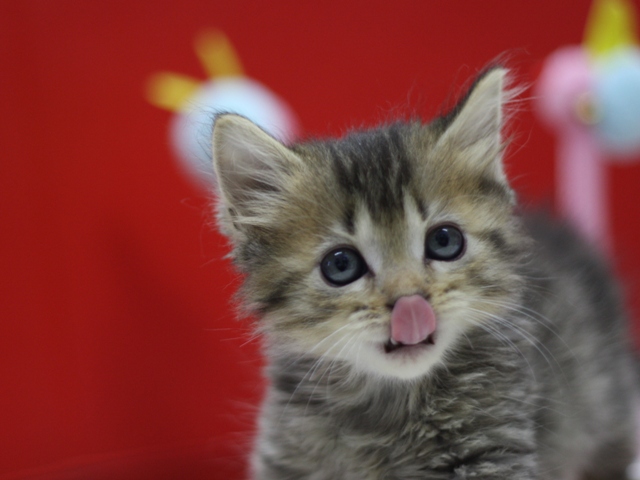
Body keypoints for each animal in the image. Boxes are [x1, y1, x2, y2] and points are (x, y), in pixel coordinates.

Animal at [212, 68, 636, 480]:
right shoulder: (287, 451)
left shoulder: (493, 448)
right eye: (341, 265)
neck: (385, 408)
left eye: (444, 241)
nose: (410, 302)